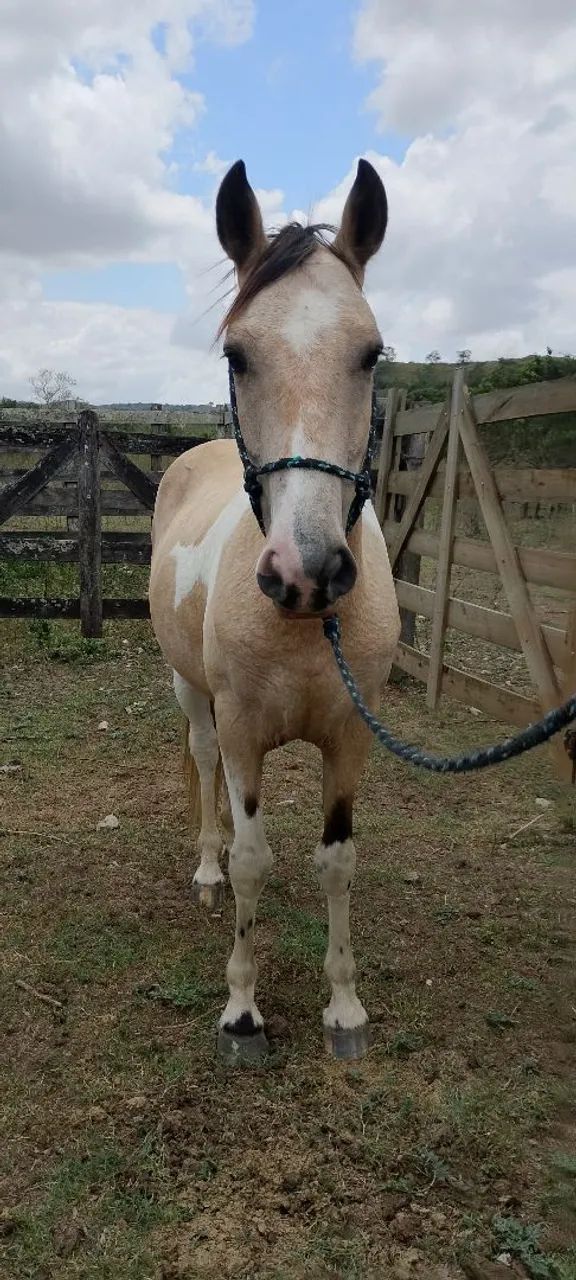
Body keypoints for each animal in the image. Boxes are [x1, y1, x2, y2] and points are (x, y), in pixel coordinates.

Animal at [149, 158, 400, 1062]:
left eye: (371, 353)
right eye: (238, 353)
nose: (308, 571)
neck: (302, 626)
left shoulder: (353, 738)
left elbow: (337, 861)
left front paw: (345, 1008)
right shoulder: (242, 726)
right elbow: (255, 859)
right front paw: (243, 1010)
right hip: (193, 697)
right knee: (203, 766)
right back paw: (207, 869)